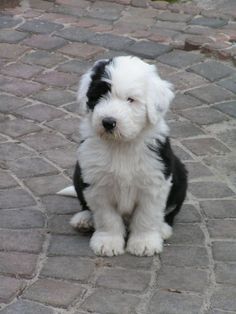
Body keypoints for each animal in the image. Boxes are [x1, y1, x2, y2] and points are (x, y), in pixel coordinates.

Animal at [59, 56, 188, 256]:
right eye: (100, 95)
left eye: (131, 100)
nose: (108, 122)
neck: (121, 145)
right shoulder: (97, 183)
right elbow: (107, 217)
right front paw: (108, 242)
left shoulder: (154, 181)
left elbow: (147, 216)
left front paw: (144, 243)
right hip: (78, 173)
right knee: (86, 205)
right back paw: (84, 219)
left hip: (180, 174)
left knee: (169, 212)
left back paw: (163, 229)